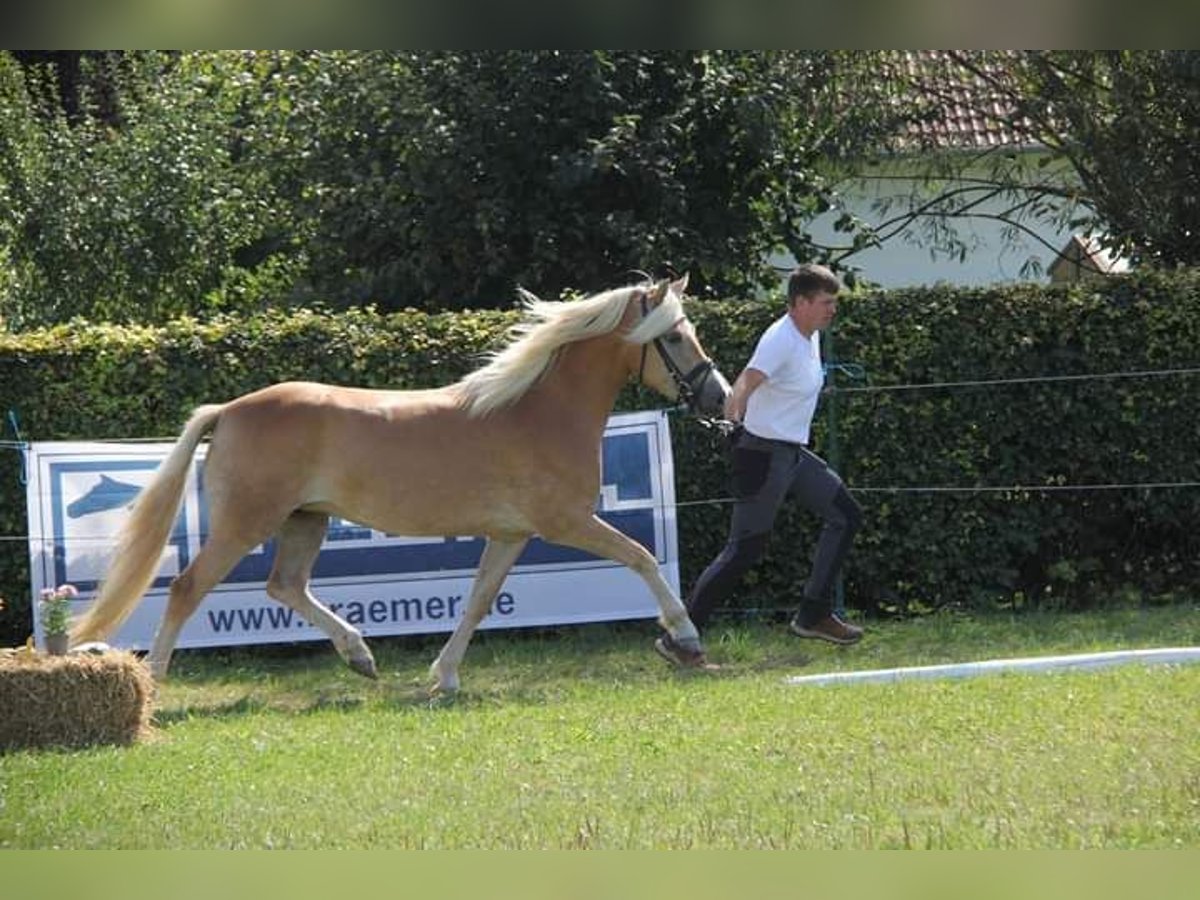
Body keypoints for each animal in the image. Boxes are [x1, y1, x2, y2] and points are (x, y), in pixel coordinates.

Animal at [77, 278, 729, 696]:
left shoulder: (512, 535)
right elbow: (642, 558)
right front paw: (685, 641)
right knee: (188, 586)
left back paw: (361, 657)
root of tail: (230, 410)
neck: (540, 411)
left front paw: (444, 677)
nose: (719, 397)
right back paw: (155, 682)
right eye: (674, 337)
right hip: (247, 522)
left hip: (306, 520)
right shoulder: (566, 522)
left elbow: (478, 600)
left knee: (286, 586)